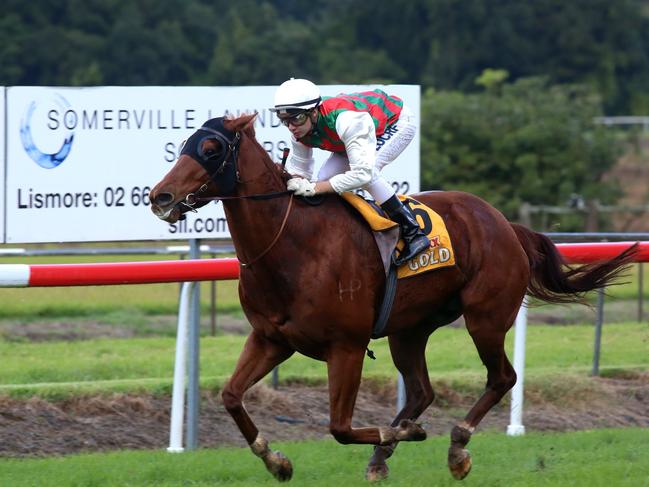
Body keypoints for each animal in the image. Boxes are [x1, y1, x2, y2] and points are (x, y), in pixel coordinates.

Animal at [149, 115, 636, 484]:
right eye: (184, 144)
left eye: (211, 147)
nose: (160, 196)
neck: (291, 243)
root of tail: (504, 223)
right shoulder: (271, 339)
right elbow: (231, 396)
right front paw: (277, 460)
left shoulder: (346, 346)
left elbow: (340, 427)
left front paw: (405, 435)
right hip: (409, 330)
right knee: (422, 390)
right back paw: (387, 452)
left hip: (486, 317)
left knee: (502, 377)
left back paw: (456, 447)